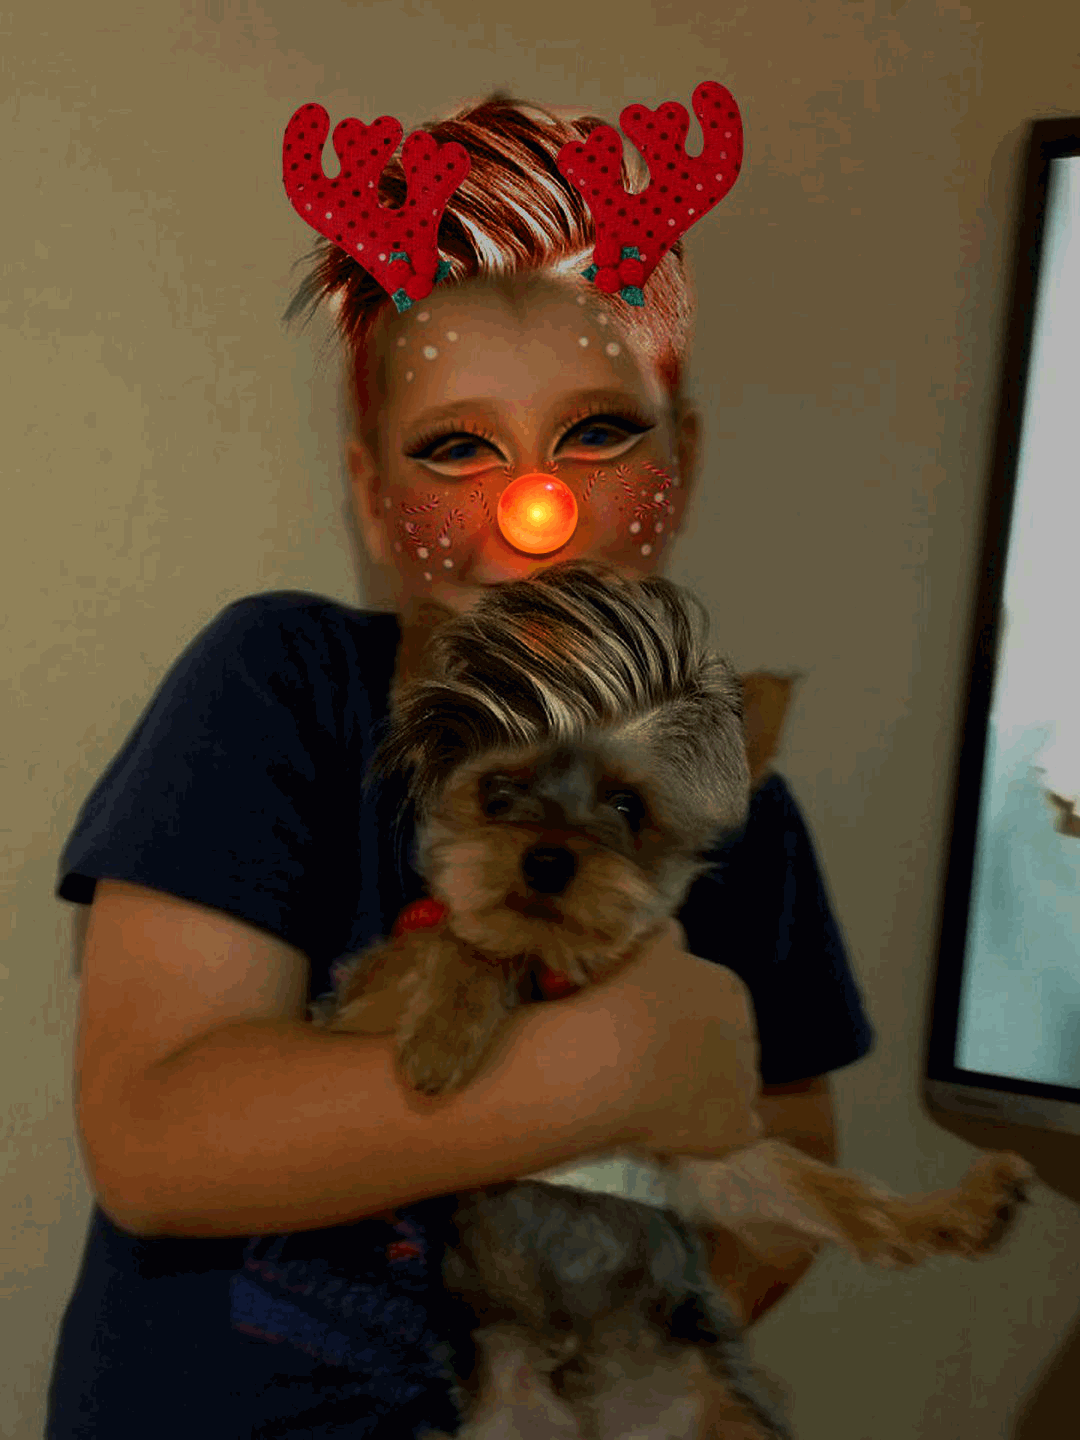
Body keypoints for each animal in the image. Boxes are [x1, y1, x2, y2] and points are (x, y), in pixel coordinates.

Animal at [312, 560, 1034, 1439]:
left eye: (629, 809)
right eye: (497, 792)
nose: (547, 860)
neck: (564, 975)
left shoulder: (700, 1158)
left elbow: (829, 1192)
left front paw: (939, 1212)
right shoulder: (351, 1008)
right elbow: (463, 937)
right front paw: (443, 1036)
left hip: (718, 1403)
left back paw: (969, 1210)